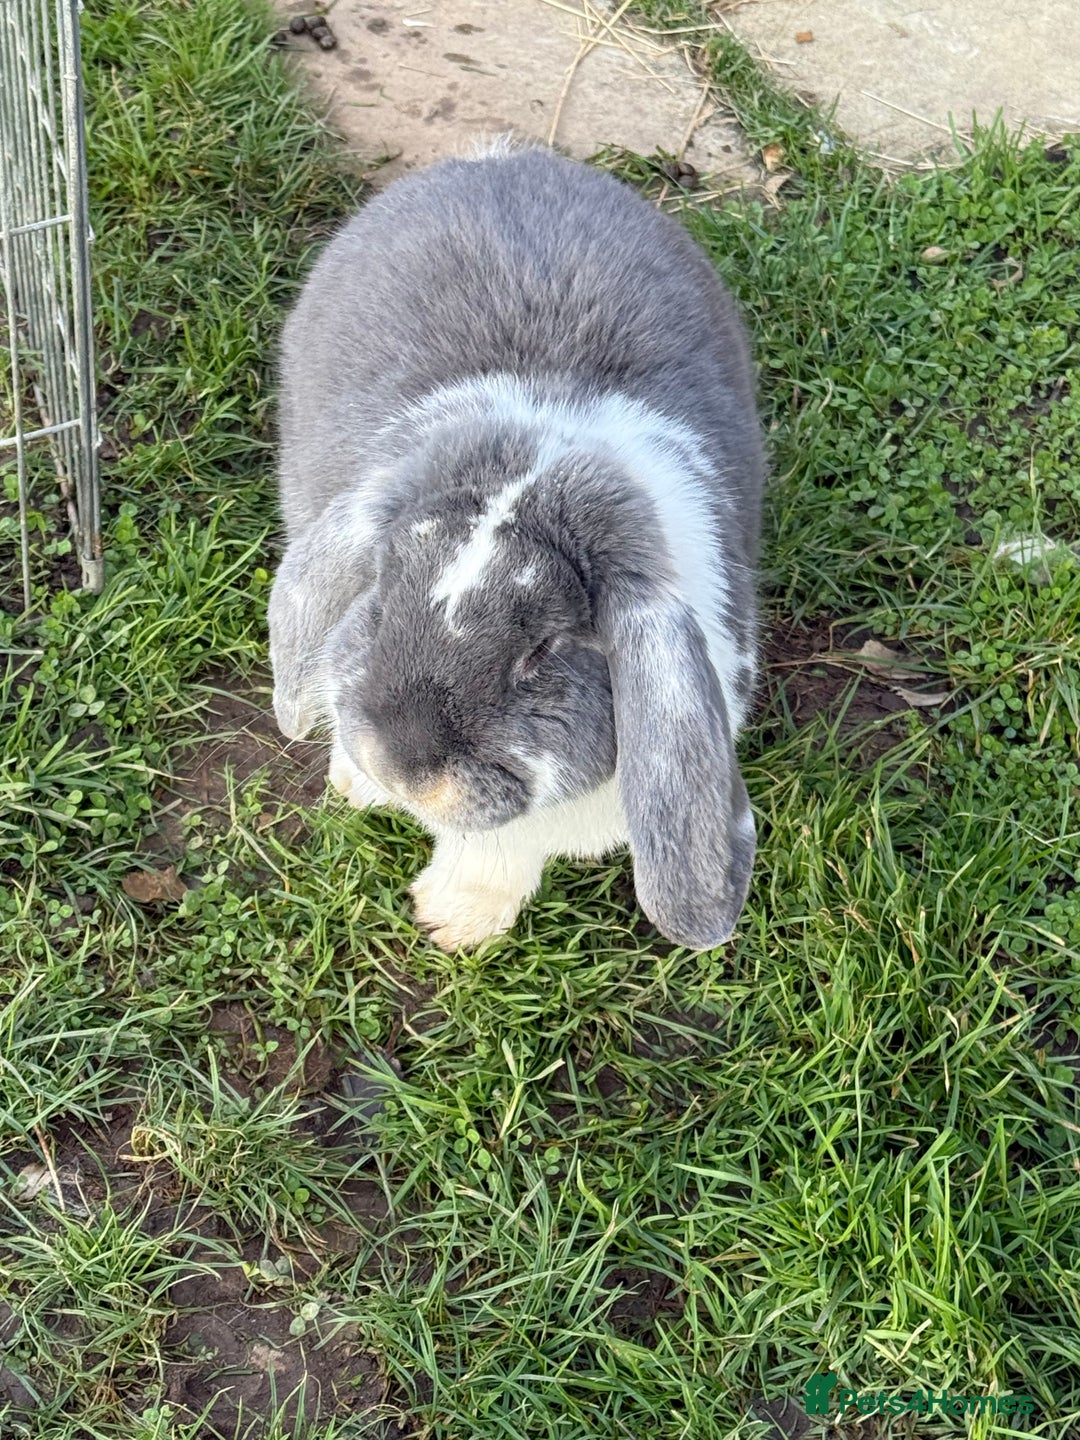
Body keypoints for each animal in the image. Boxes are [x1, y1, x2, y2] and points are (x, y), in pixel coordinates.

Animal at [268, 140, 765, 952]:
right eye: (382, 591)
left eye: (543, 650)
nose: (399, 765)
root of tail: (500, 155)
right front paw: (358, 789)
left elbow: (496, 853)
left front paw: (452, 922)